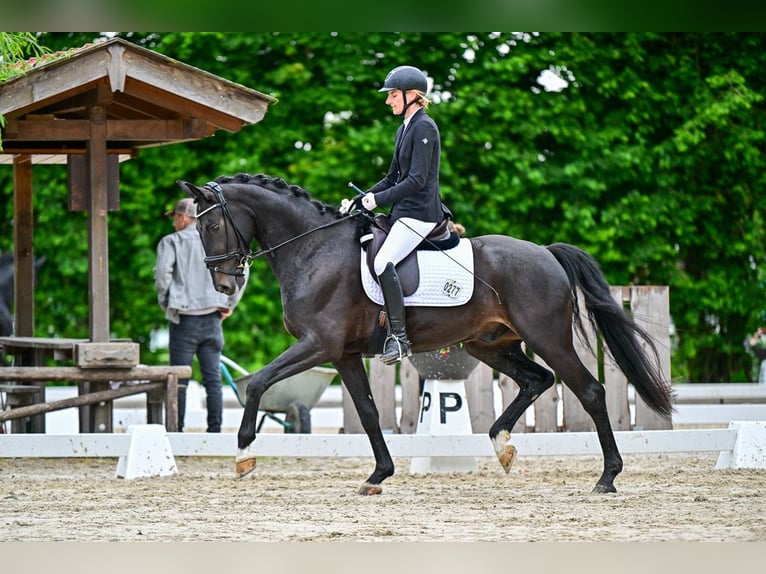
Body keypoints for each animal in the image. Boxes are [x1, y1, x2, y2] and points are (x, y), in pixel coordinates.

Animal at [177, 173, 674, 496]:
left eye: (213, 225)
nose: (223, 285)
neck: (313, 249)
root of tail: (546, 253)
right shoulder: (342, 354)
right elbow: (369, 412)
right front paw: (379, 475)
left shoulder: (318, 345)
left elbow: (258, 382)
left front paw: (243, 455)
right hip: (489, 343)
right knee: (537, 380)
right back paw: (502, 445)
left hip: (548, 338)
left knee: (588, 390)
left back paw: (607, 477)